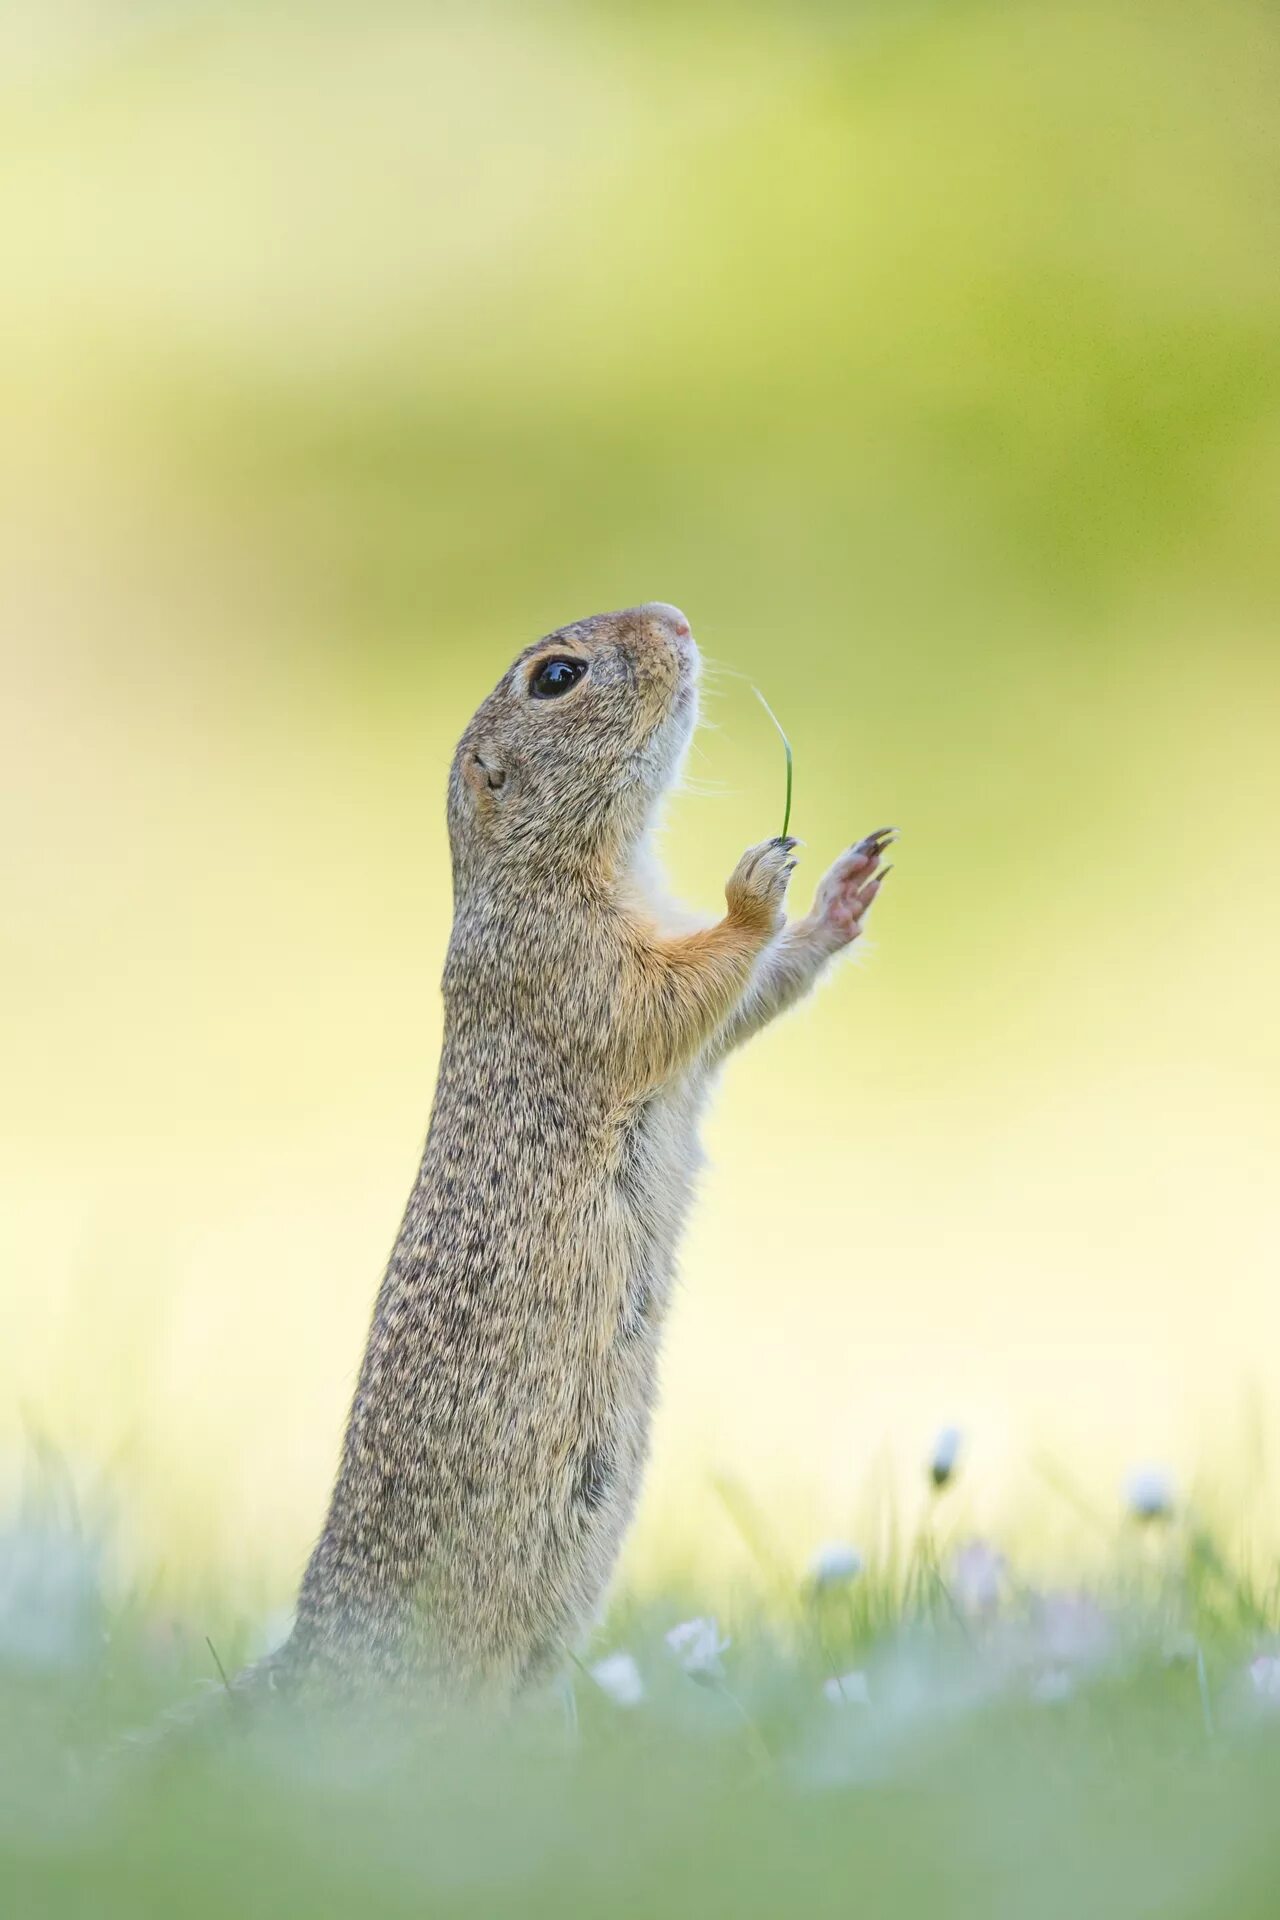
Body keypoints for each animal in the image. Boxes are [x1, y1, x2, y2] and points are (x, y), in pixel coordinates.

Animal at [278, 599, 890, 1697]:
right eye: (556, 677)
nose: (676, 617)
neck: (567, 866)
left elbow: (743, 1004)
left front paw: (840, 893)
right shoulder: (574, 967)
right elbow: (676, 997)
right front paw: (756, 889)